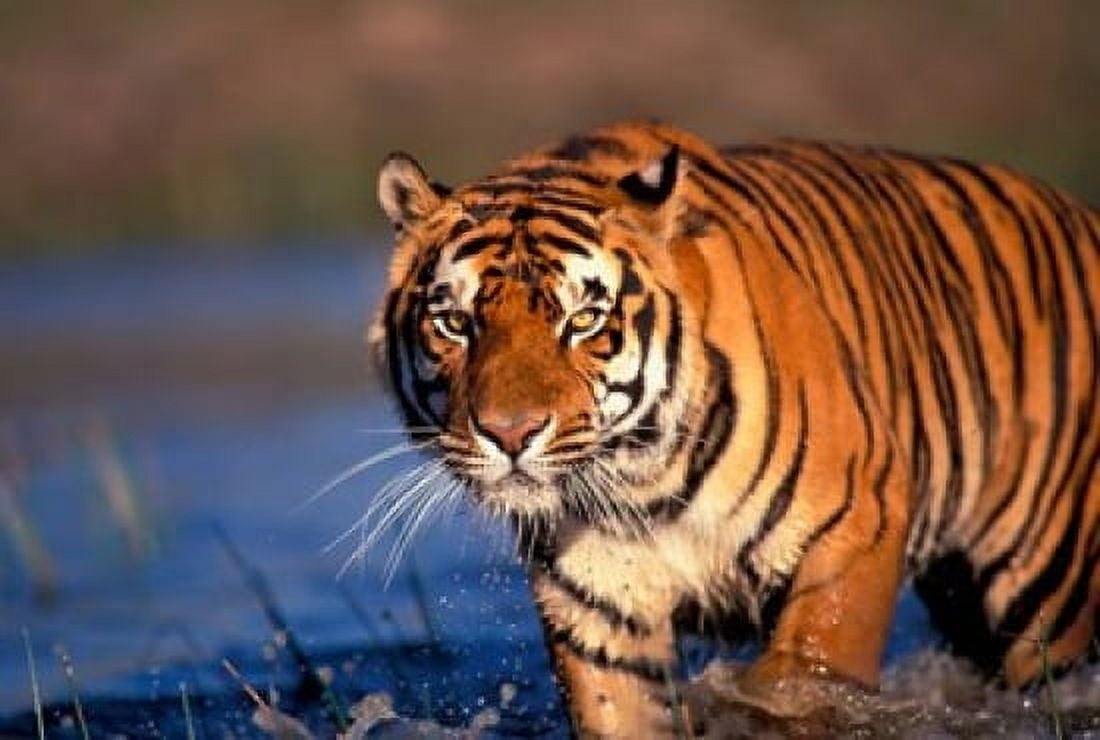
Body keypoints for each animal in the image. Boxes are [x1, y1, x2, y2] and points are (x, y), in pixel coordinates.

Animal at [369, 121, 1100, 737]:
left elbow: (802, 679)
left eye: (582, 321)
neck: (644, 481)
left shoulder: (856, 524)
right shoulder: (597, 602)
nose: (511, 434)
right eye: (455, 323)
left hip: (1045, 591)